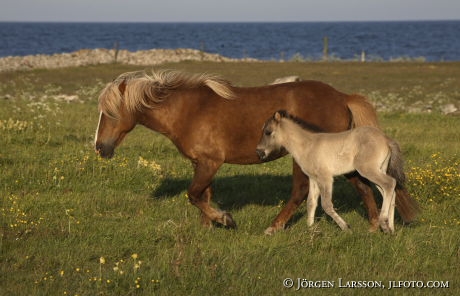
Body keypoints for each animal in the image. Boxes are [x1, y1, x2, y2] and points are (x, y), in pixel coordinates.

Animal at [255, 111, 406, 234]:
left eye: (268, 132)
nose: (260, 152)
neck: (307, 145)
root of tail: (386, 139)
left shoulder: (325, 178)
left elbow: (326, 205)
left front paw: (346, 227)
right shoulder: (313, 178)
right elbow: (311, 202)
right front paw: (310, 229)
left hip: (368, 170)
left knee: (390, 183)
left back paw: (384, 224)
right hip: (379, 170)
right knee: (390, 191)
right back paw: (391, 228)